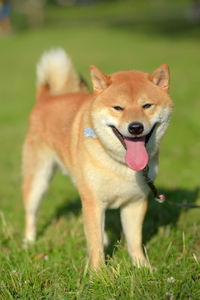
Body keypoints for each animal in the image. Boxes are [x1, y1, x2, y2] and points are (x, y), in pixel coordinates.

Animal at [21, 48, 173, 270]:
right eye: (118, 108)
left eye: (147, 105)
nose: (135, 127)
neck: (121, 165)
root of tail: (45, 99)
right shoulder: (92, 201)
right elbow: (95, 245)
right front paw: (99, 273)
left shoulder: (135, 202)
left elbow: (134, 241)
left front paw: (143, 268)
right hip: (38, 179)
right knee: (31, 213)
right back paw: (28, 242)